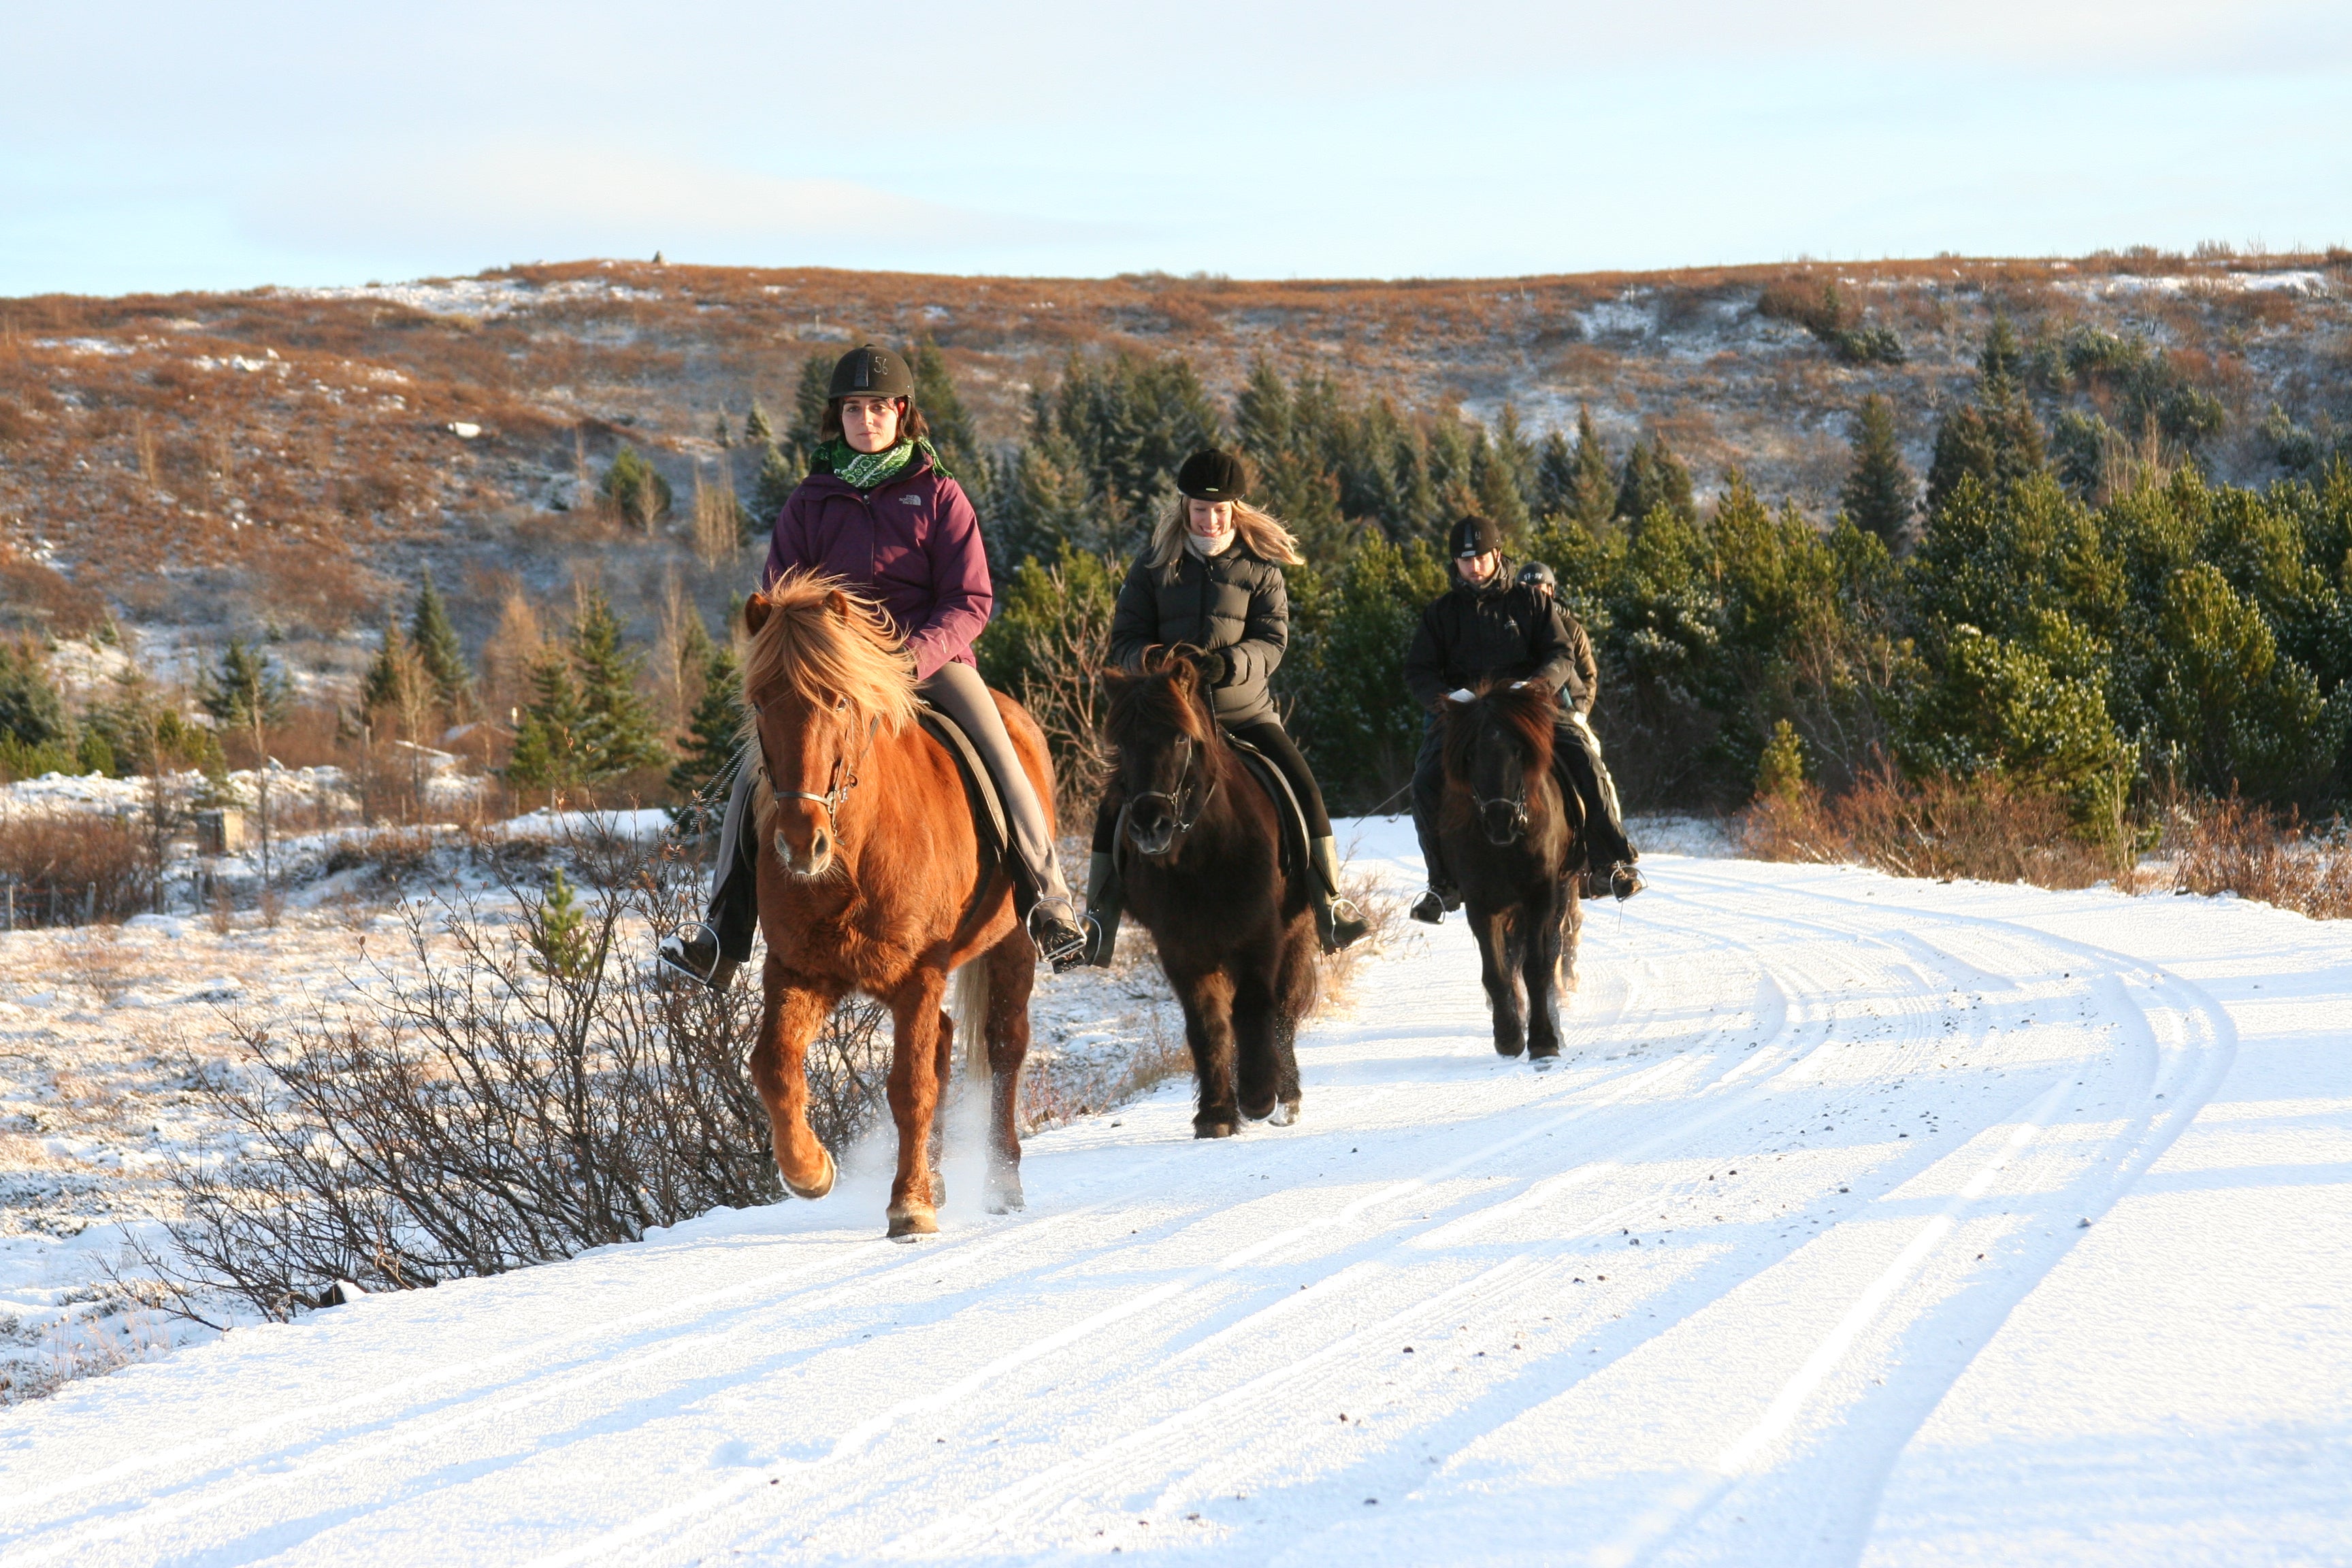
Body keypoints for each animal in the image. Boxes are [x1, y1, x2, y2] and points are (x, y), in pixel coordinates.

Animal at [740, 572, 1048, 1238]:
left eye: (838, 701)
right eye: (759, 703)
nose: (800, 842)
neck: (853, 858)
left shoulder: (919, 975)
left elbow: (910, 1088)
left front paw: (908, 1206)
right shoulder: (799, 970)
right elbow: (774, 1065)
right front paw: (809, 1170)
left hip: (1012, 945)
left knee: (1004, 1047)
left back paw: (1002, 1185)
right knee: (944, 1042)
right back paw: (936, 1176)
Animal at [1104, 651, 1318, 1138]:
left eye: (1181, 737)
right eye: (1121, 744)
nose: (1150, 826)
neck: (1199, 863)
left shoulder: (1259, 935)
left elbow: (1255, 1007)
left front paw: (1257, 1096)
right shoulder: (1180, 948)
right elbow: (1207, 1026)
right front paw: (1217, 1114)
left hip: (1296, 935)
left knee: (1284, 1010)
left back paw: (1287, 1097)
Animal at [1438, 682, 1586, 1062]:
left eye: (1519, 752)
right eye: (1470, 756)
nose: (1500, 820)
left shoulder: (1540, 896)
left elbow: (1537, 966)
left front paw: (1544, 1038)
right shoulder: (1481, 902)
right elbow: (1496, 971)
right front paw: (1508, 1035)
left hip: (1562, 891)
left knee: (1555, 951)